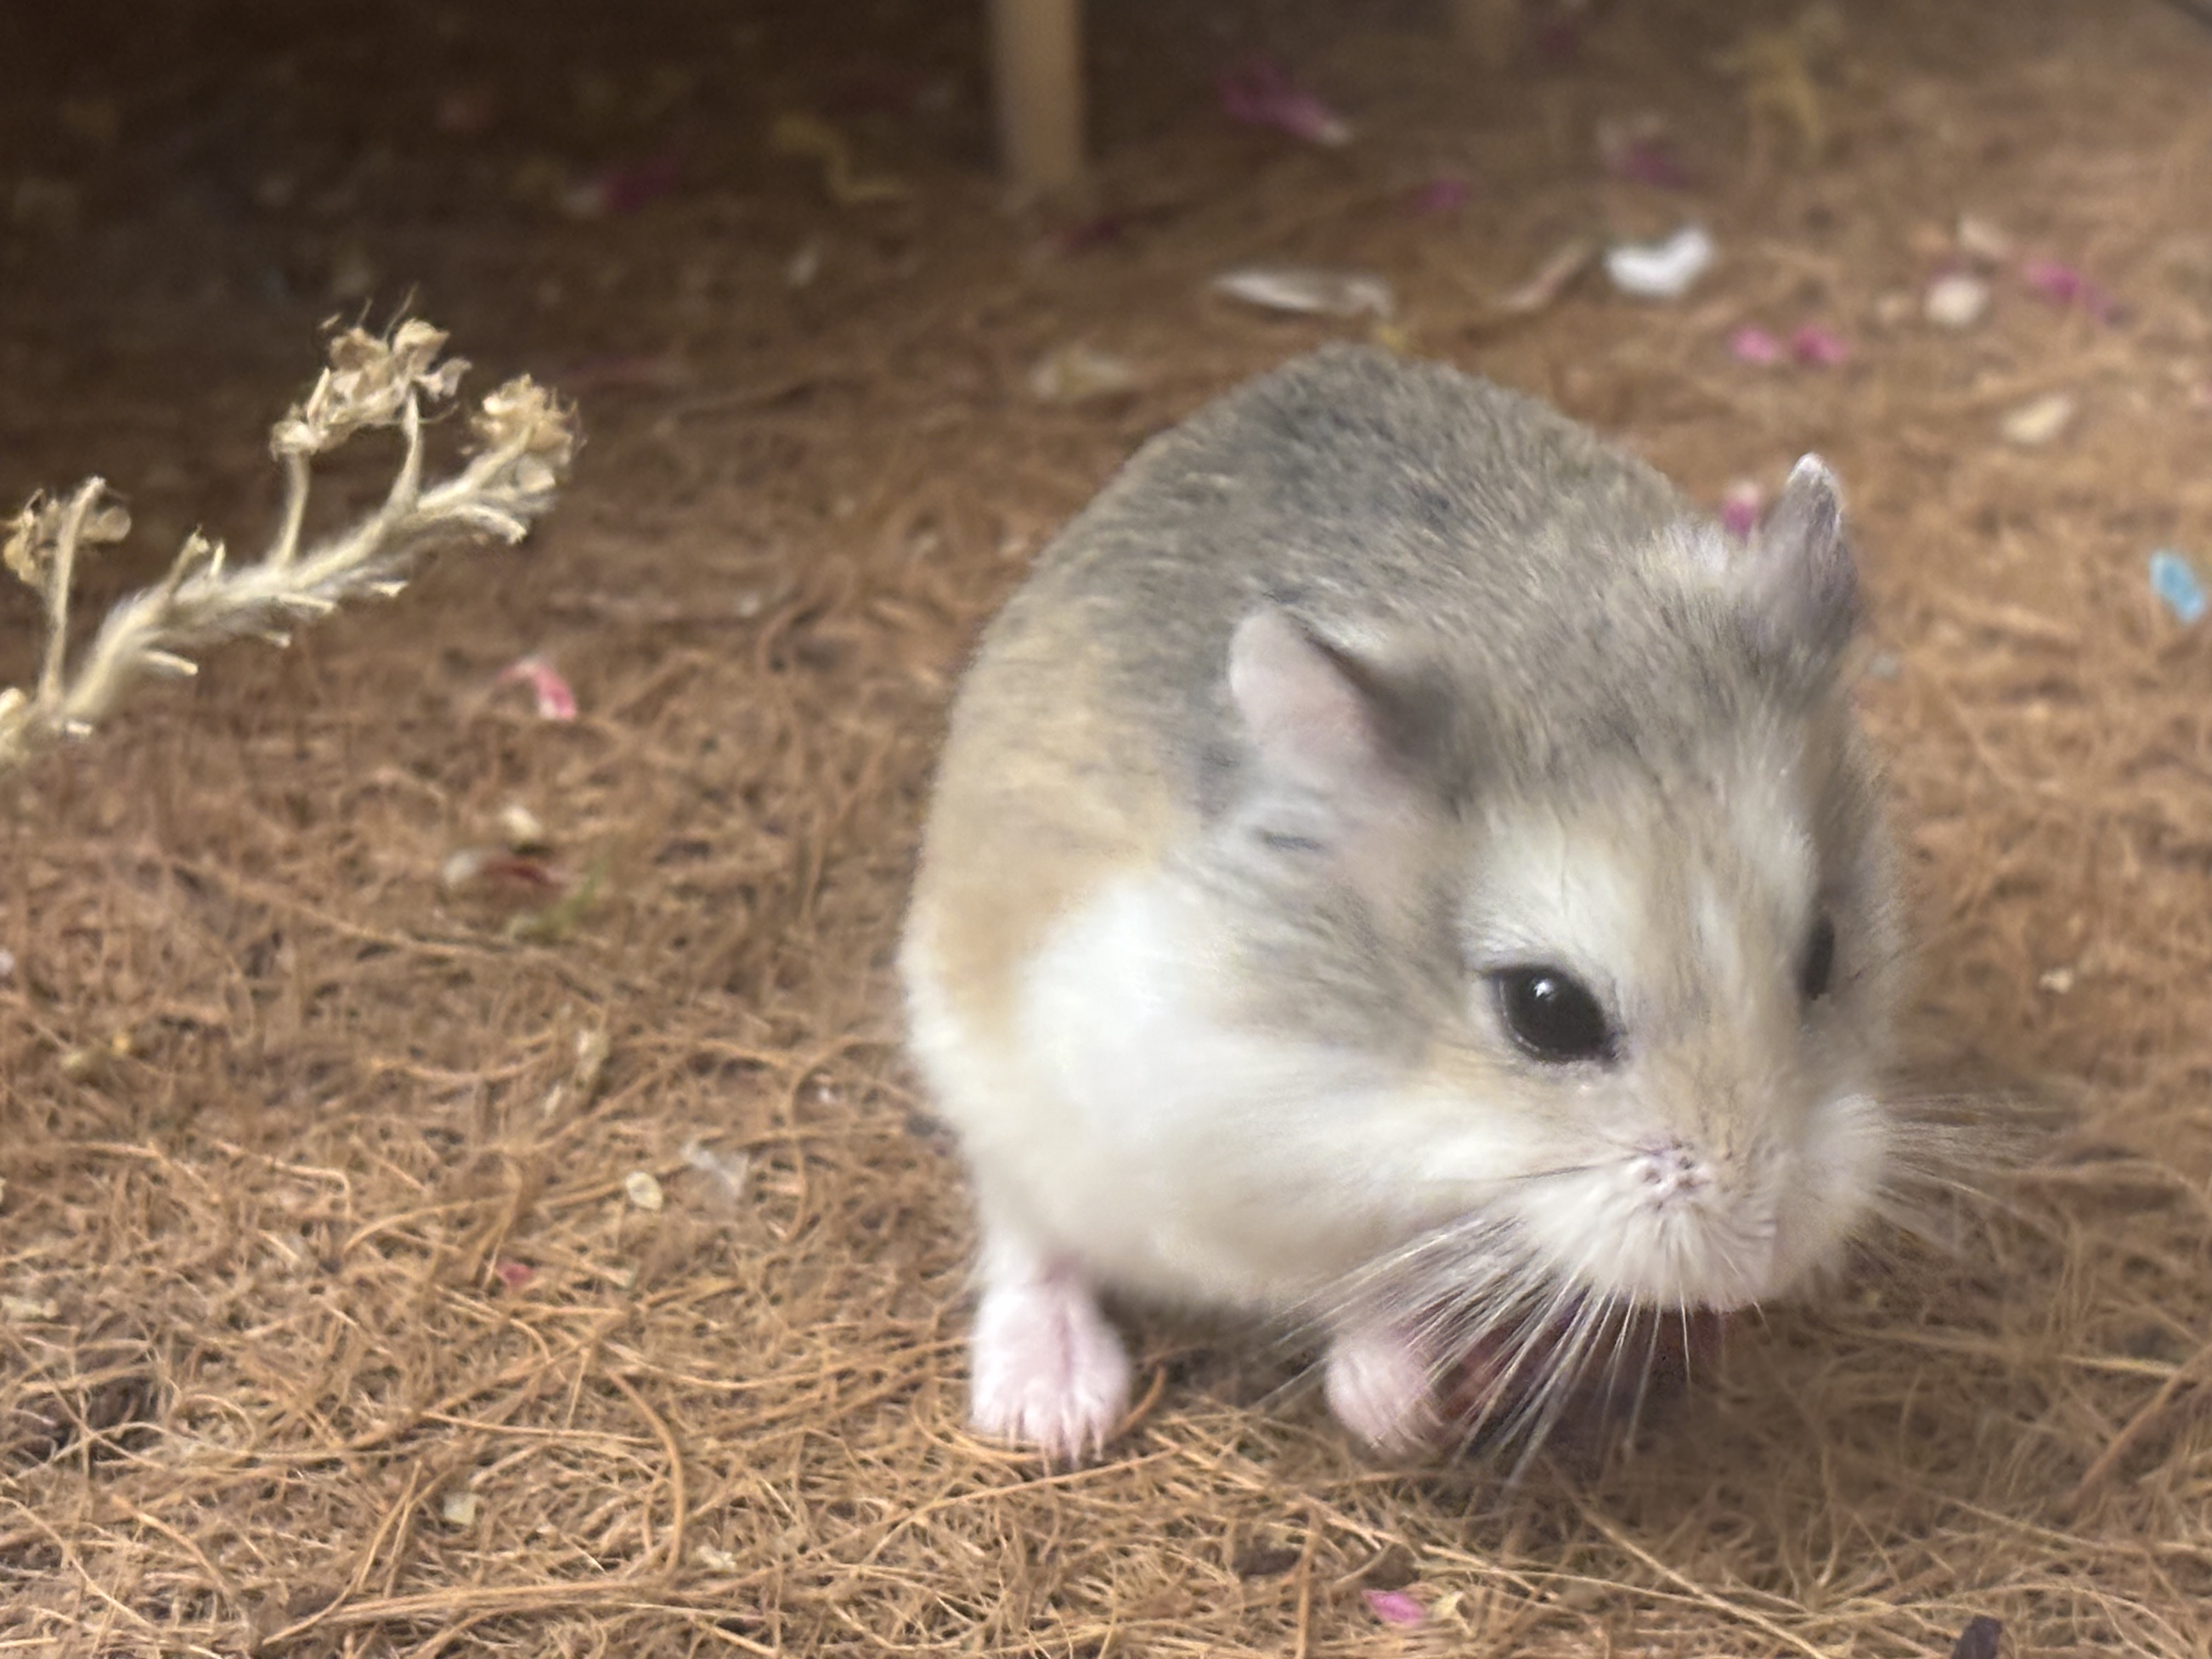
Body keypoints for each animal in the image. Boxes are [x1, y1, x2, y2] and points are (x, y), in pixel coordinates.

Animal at [899, 345, 1905, 1463]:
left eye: (1823, 953)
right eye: (1546, 1011)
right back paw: (1052, 1408)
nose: (1756, 1258)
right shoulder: (1212, 1173)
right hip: (983, 1074)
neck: (1386, 1091)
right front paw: (1403, 1408)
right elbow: (1348, 1285)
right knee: (1024, 1232)